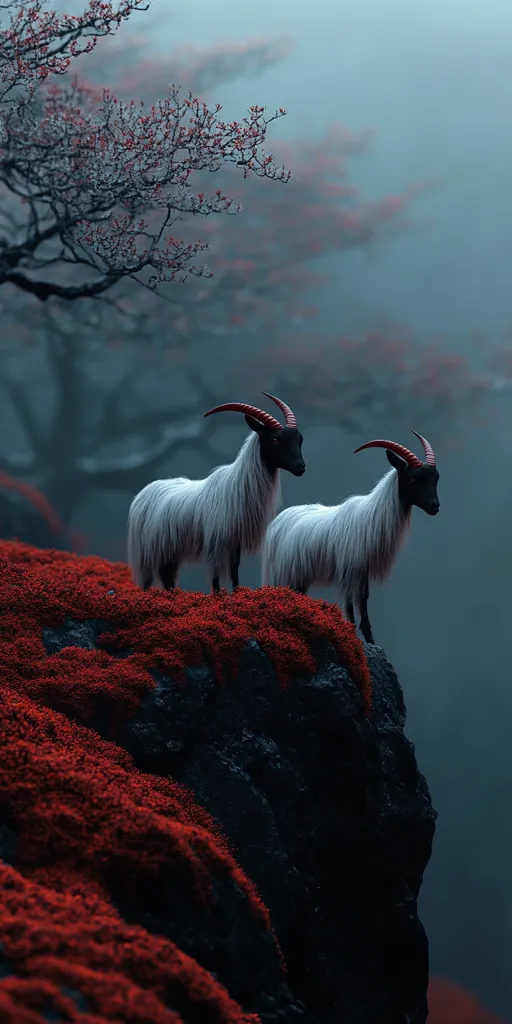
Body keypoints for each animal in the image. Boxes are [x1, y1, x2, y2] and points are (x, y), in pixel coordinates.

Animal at [127, 393, 305, 594]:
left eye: (299, 440)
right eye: (276, 440)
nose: (301, 467)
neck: (236, 485)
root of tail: (141, 496)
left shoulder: (234, 541)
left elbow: (234, 568)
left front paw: (236, 593)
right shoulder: (216, 541)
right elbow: (215, 574)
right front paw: (218, 594)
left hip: (168, 550)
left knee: (166, 577)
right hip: (150, 551)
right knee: (152, 579)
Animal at [261, 431, 439, 644]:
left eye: (436, 478)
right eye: (413, 478)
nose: (435, 506)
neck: (372, 515)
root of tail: (276, 523)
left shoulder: (362, 568)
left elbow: (363, 598)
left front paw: (369, 636)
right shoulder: (347, 567)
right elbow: (349, 600)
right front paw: (353, 632)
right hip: (286, 572)